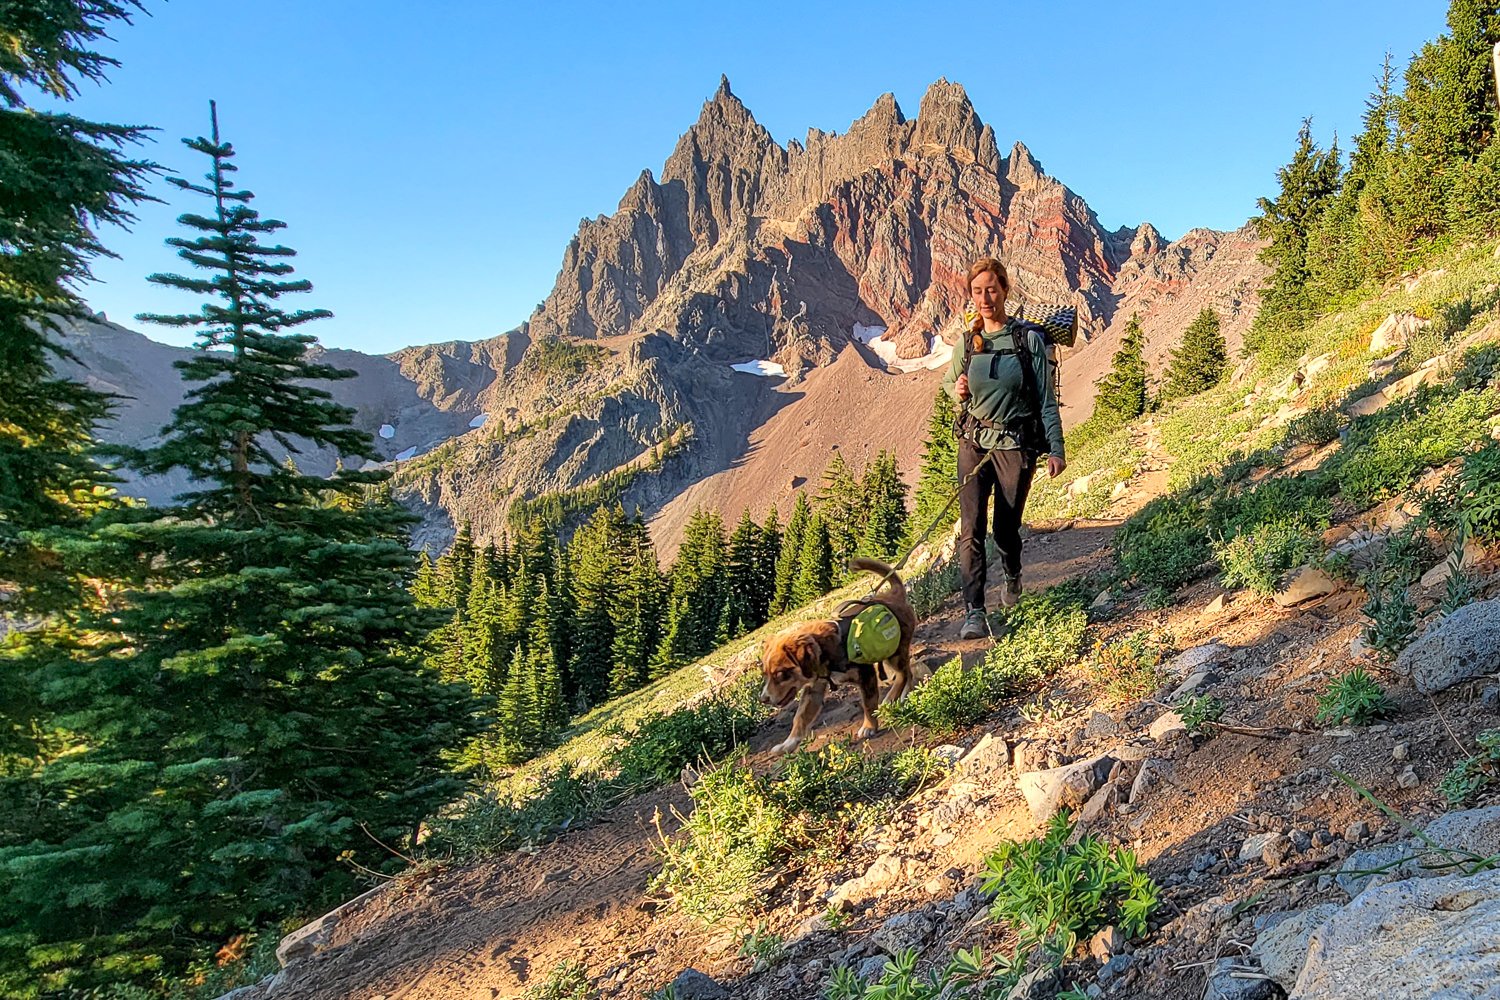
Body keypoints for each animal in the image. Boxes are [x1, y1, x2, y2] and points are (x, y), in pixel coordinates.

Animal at [756, 554, 918, 758]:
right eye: (765, 675)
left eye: (780, 674)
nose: (763, 699)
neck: (823, 654)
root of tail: (893, 595)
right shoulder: (813, 689)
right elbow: (800, 718)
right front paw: (787, 745)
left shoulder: (865, 674)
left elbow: (868, 704)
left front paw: (869, 727)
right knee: (907, 672)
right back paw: (900, 696)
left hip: (894, 654)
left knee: (904, 673)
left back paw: (890, 699)